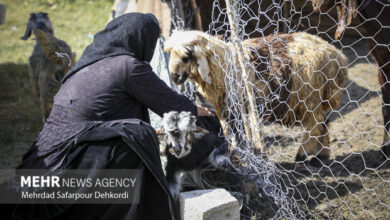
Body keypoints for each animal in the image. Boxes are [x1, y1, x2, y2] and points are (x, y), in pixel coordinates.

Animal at [164, 30, 348, 165]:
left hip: (310, 96)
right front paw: (235, 153)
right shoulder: (224, 109)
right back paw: (321, 156)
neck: (223, 64)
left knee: (315, 125)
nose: (174, 77)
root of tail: (338, 57)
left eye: (186, 56)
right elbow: (229, 132)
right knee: (324, 122)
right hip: (320, 98)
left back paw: (302, 155)